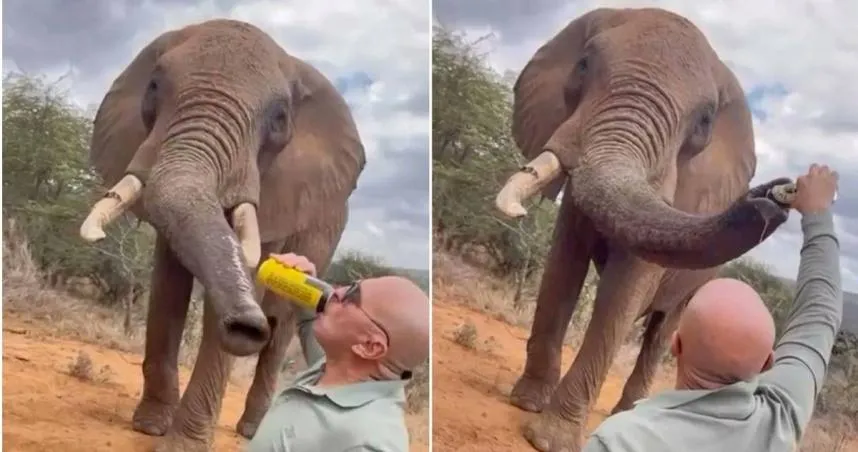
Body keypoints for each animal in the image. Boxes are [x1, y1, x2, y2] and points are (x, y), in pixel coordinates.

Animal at [77, 19, 366, 451]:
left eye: (280, 118)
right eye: (154, 87)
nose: (247, 326)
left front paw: (183, 445)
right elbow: (168, 285)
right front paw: (149, 427)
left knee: (282, 326)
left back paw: (251, 429)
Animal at [492, 8, 793, 452]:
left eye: (704, 121)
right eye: (583, 66)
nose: (777, 194)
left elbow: (626, 287)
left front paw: (550, 440)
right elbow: (563, 264)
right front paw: (527, 404)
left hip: (699, 284)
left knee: (662, 329)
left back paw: (634, 410)